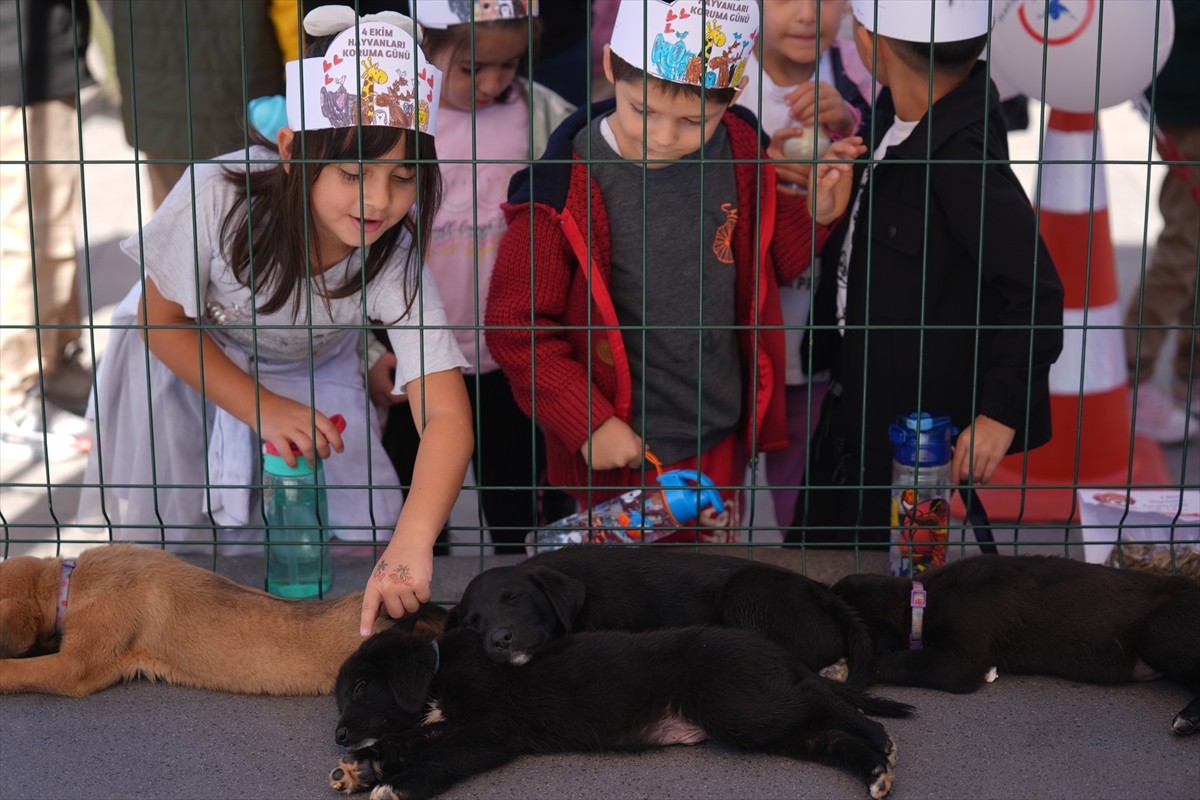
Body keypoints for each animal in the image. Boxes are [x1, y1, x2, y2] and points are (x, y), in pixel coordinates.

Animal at [328, 623, 907, 800]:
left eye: (361, 686)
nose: (337, 735)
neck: (439, 670)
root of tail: (772, 649)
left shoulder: (493, 729)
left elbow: (443, 754)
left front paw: (395, 784)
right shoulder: (452, 723)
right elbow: (418, 737)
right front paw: (367, 764)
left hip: (739, 706)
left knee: (817, 699)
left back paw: (877, 734)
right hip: (767, 727)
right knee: (825, 737)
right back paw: (875, 770)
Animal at [830, 556, 1200, 738]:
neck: (920, 601)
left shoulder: (959, 663)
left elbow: (899, 660)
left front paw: (849, 670)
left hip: (1159, 632)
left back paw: (1187, 718)